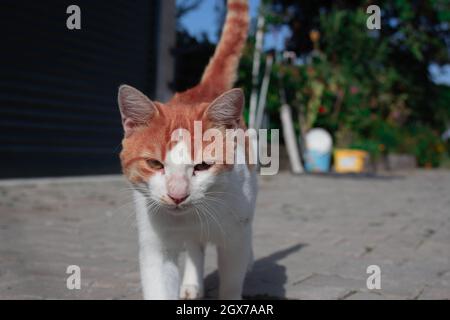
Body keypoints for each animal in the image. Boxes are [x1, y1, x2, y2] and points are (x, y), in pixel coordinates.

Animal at [117, 0, 256, 300]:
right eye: (155, 164)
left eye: (203, 166)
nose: (177, 195)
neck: (190, 218)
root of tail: (202, 89)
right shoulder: (156, 250)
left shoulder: (234, 241)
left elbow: (232, 282)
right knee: (195, 247)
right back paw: (192, 284)